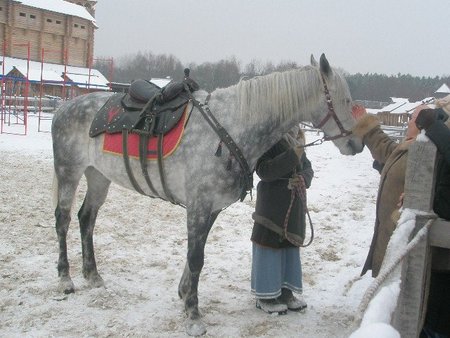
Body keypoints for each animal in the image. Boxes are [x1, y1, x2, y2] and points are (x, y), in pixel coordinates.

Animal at [51, 54, 364, 334]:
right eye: (346, 100)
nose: (358, 144)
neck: (231, 129)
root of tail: (64, 108)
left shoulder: (211, 209)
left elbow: (197, 256)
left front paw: (184, 293)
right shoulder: (198, 206)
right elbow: (195, 258)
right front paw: (193, 315)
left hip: (98, 177)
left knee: (86, 218)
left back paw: (92, 275)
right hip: (69, 173)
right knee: (63, 220)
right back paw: (65, 279)